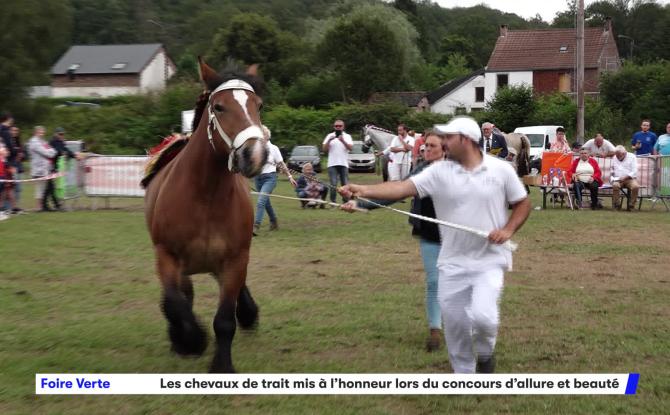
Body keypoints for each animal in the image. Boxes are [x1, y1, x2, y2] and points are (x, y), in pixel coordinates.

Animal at [144, 58, 268, 373]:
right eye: (220, 107)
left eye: (258, 105)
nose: (255, 154)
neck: (206, 198)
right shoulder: (167, 257)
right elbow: (174, 304)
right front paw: (191, 341)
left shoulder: (235, 259)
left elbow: (224, 320)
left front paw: (222, 365)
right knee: (181, 297)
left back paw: (247, 312)